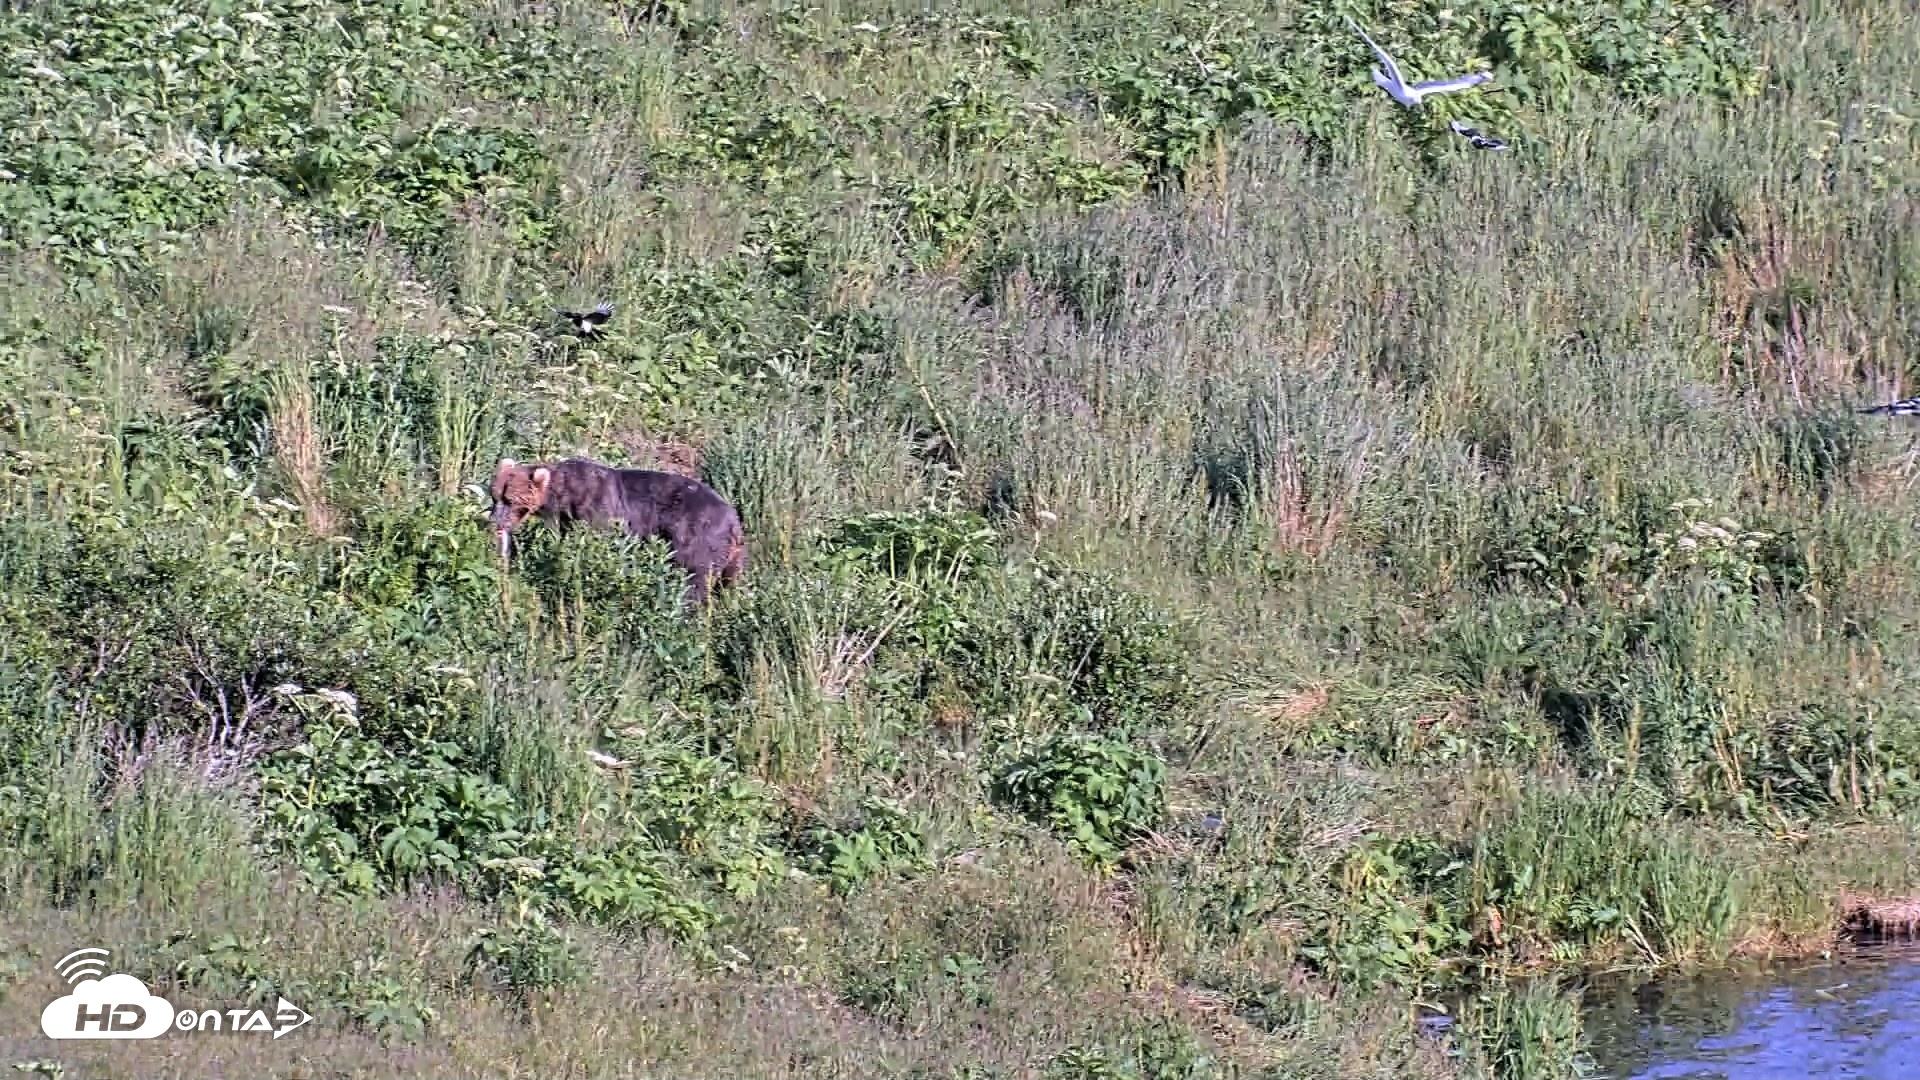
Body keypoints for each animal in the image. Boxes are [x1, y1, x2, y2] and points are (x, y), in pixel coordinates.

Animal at [489, 456, 747, 606]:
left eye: (510, 500)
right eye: (495, 496)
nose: (495, 521)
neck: (564, 496)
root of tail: (734, 522)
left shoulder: (598, 506)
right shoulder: (567, 519)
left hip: (697, 535)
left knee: (693, 577)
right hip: (733, 557)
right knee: (729, 584)